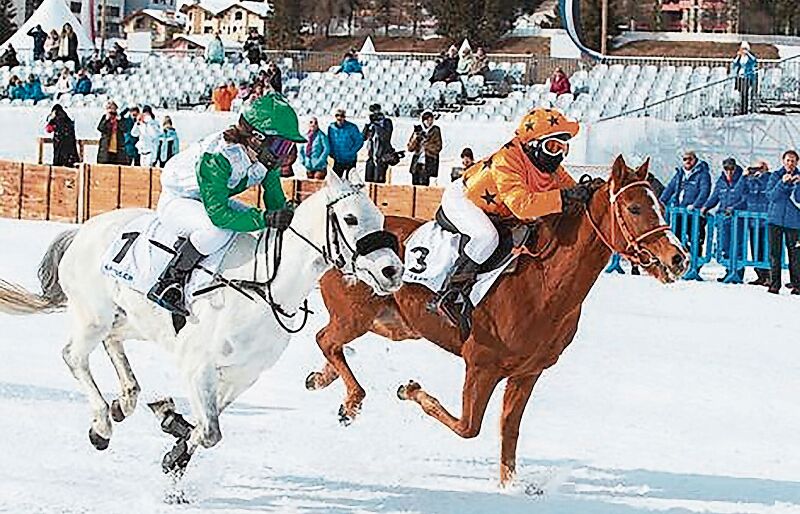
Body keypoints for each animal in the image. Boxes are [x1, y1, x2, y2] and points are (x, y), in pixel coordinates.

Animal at [0, 172, 404, 472]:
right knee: (74, 356)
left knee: (114, 341)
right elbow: (210, 431)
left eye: (380, 217)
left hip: (132, 319)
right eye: (350, 218)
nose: (392, 270)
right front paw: (173, 433)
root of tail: (82, 230)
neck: (263, 286)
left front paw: (173, 438)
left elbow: (207, 427)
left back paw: (126, 400)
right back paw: (102, 424)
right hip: (92, 315)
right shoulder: (199, 367)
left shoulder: (242, 375)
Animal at [306, 154, 688, 482]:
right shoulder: (482, 364)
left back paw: (324, 381)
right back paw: (352, 399)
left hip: (393, 323)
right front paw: (410, 389)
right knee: (326, 339)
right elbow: (468, 426)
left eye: (660, 205)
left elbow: (509, 430)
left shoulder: (528, 372)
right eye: (635, 208)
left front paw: (511, 486)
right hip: (355, 315)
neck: (544, 282)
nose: (678, 258)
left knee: (334, 344)